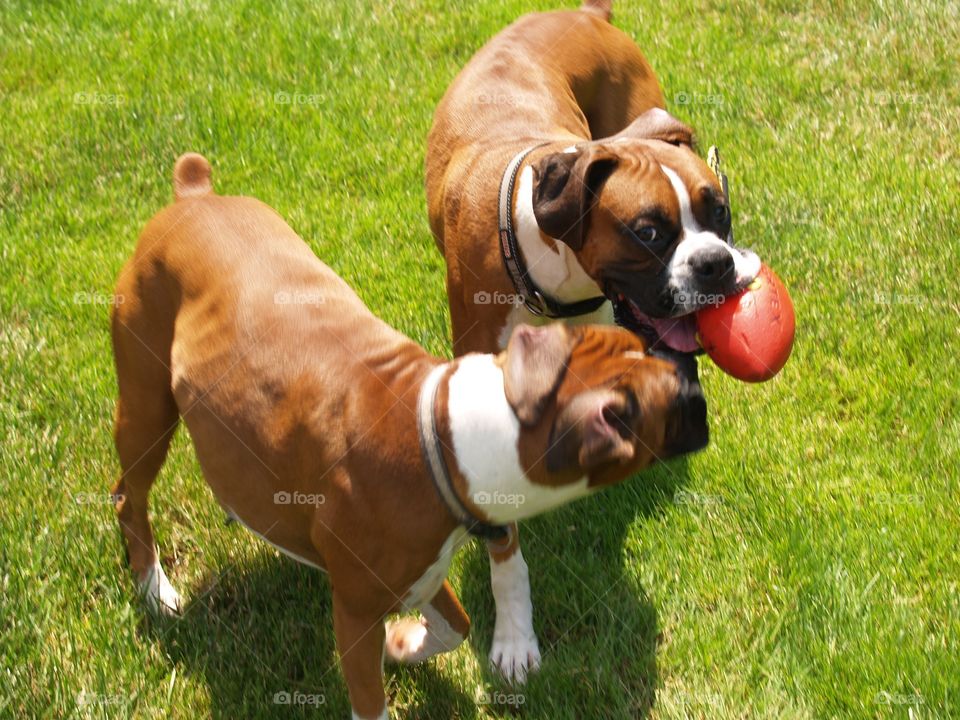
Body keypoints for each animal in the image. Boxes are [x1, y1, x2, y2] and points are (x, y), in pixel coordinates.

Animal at [114, 153, 712, 720]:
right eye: (677, 404)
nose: (688, 366)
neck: (443, 435)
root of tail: (194, 195)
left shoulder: (422, 574)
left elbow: (457, 626)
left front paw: (403, 644)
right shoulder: (356, 610)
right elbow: (372, 700)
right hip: (146, 410)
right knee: (127, 496)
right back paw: (155, 589)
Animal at [424, 0, 760, 680]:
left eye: (720, 212)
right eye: (649, 233)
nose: (715, 264)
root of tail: (584, 14)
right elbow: (506, 549)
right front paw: (514, 638)